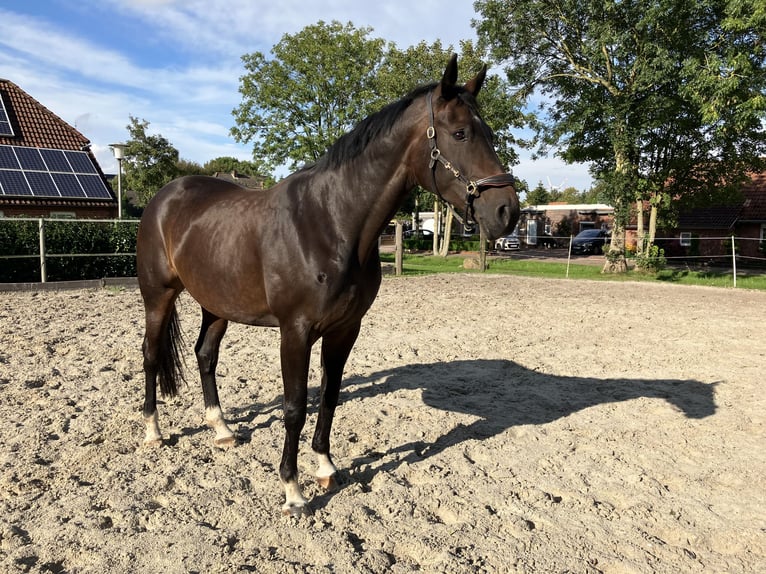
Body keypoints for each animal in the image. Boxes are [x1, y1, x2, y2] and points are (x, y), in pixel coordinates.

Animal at [136, 54, 520, 520]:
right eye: (460, 133)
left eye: (491, 134)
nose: (507, 212)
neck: (330, 222)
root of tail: (166, 196)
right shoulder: (295, 332)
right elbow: (294, 408)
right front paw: (293, 492)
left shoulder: (344, 330)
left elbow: (330, 398)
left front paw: (325, 468)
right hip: (157, 297)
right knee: (151, 355)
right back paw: (153, 432)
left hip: (217, 305)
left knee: (205, 356)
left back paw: (222, 429)